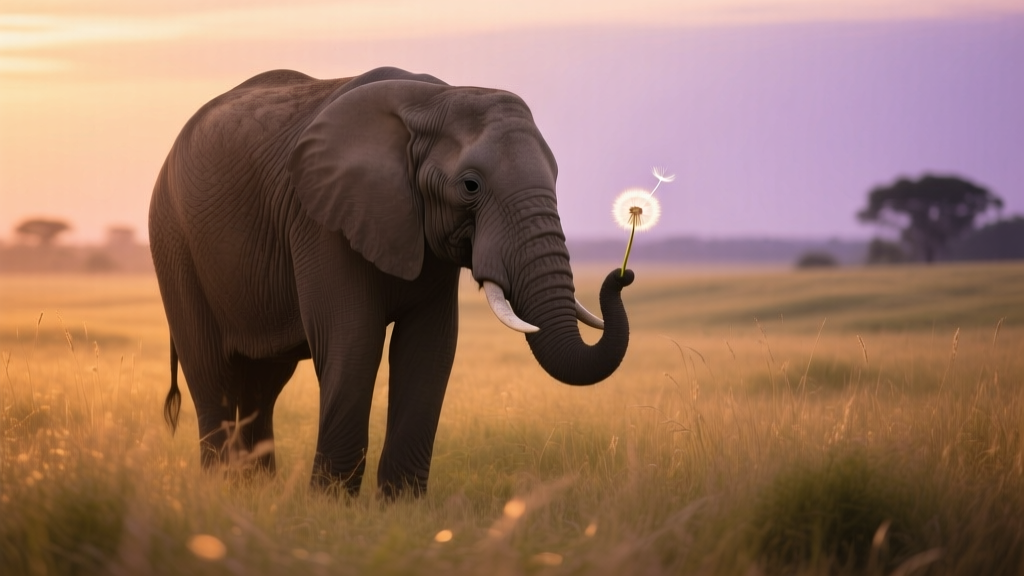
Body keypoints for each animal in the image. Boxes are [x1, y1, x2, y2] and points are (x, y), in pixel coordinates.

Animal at [150, 66, 635, 498]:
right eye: (470, 186)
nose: (623, 274)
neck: (434, 100)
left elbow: (431, 347)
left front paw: (400, 506)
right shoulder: (322, 220)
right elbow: (353, 341)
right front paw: (331, 506)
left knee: (262, 383)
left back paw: (255, 492)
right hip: (173, 240)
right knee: (211, 372)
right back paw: (221, 489)